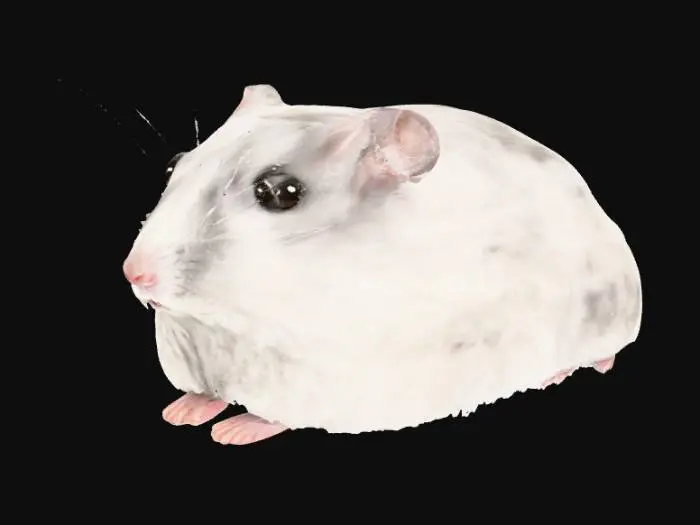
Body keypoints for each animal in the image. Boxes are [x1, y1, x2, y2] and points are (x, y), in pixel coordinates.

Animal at [123, 84, 642, 445]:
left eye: (281, 193)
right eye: (173, 165)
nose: (133, 272)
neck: (232, 326)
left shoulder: (329, 379)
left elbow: (270, 415)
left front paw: (234, 430)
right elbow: (206, 393)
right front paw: (182, 410)